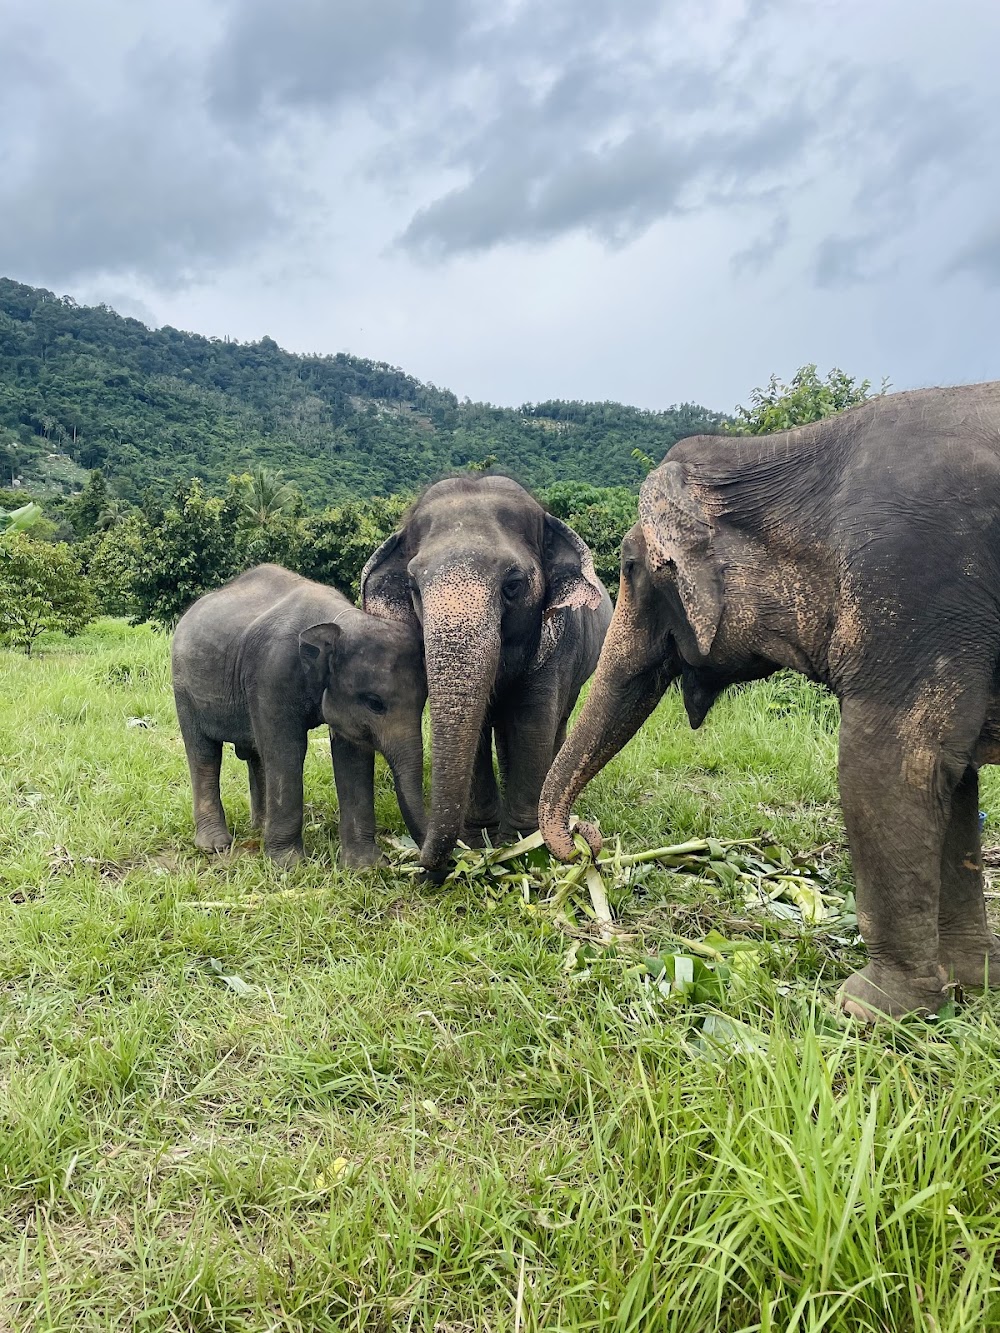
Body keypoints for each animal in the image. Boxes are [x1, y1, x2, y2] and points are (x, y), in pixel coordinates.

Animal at [172, 565, 426, 869]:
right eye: (375, 703)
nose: (422, 861)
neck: (341, 622)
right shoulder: (272, 673)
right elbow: (287, 752)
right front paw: (288, 866)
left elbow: (353, 756)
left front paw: (365, 868)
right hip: (183, 687)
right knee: (204, 753)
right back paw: (214, 846)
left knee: (255, 754)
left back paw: (259, 829)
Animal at [360, 471, 610, 874]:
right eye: (413, 587)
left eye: (513, 585)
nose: (425, 863)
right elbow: (476, 732)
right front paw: (482, 840)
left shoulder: (557, 641)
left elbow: (531, 721)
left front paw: (524, 848)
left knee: (555, 720)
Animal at [541, 386, 1000, 1018]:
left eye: (631, 567)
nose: (585, 839)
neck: (779, 452)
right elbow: (952, 780)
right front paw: (967, 985)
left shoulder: (913, 587)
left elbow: (890, 769)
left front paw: (865, 1009)